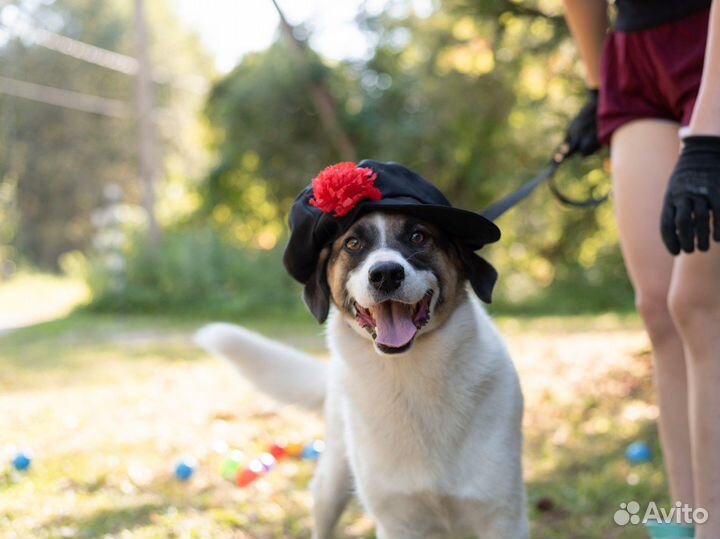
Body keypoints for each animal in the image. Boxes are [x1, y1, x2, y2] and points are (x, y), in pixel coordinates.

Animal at [194, 161, 524, 539]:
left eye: (418, 237)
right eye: (353, 243)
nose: (386, 274)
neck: (410, 373)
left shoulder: (502, 516)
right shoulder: (397, 521)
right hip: (332, 481)